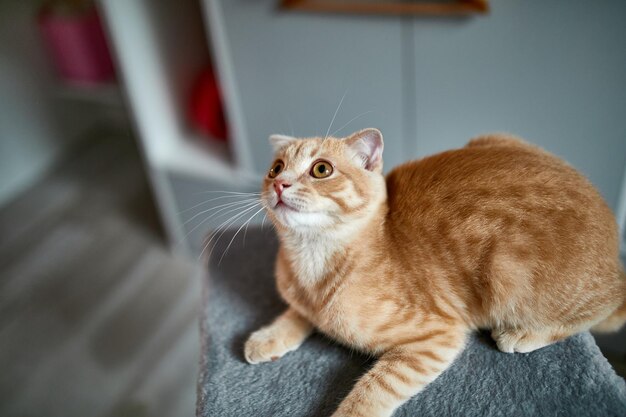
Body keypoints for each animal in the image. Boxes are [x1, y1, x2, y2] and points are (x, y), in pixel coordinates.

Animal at [241, 128, 620, 414]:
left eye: (321, 170)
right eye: (276, 168)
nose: (279, 183)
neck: (311, 264)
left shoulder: (438, 336)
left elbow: (375, 389)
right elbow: (298, 313)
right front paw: (270, 335)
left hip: (510, 274)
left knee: (607, 307)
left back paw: (525, 334)